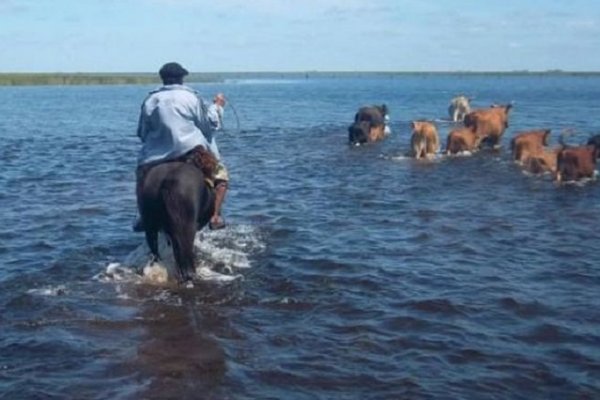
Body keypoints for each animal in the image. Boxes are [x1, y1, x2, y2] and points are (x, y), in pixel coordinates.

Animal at [137, 147, 217, 284]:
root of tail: (168, 181)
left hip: (149, 222)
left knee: (156, 249)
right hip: (186, 226)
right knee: (185, 252)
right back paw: (191, 275)